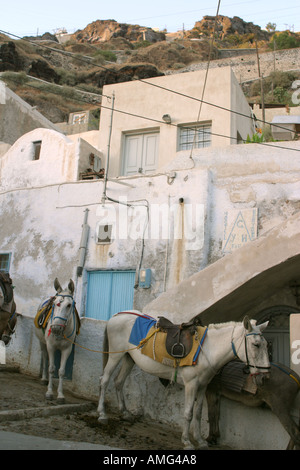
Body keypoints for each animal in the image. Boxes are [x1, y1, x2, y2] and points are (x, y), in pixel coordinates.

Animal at [98, 312, 270, 448]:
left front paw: (200, 441)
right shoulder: (191, 385)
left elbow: (198, 413)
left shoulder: (203, 386)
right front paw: (187, 441)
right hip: (115, 355)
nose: (265, 377)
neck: (207, 350)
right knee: (104, 380)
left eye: (266, 345)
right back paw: (102, 414)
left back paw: (125, 413)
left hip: (128, 358)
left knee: (119, 381)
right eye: (256, 345)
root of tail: (117, 315)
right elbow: (188, 413)